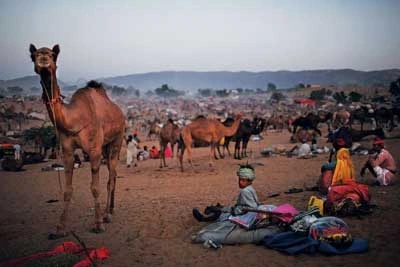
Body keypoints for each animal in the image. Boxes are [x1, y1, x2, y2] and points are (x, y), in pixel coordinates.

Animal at [29, 44, 125, 239]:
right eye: (33, 55)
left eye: (53, 55)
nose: (43, 60)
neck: (74, 119)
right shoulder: (67, 150)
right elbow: (67, 190)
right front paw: (60, 228)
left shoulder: (94, 150)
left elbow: (95, 187)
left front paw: (98, 224)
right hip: (106, 146)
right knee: (113, 175)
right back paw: (110, 209)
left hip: (117, 140)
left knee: (111, 176)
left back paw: (107, 215)